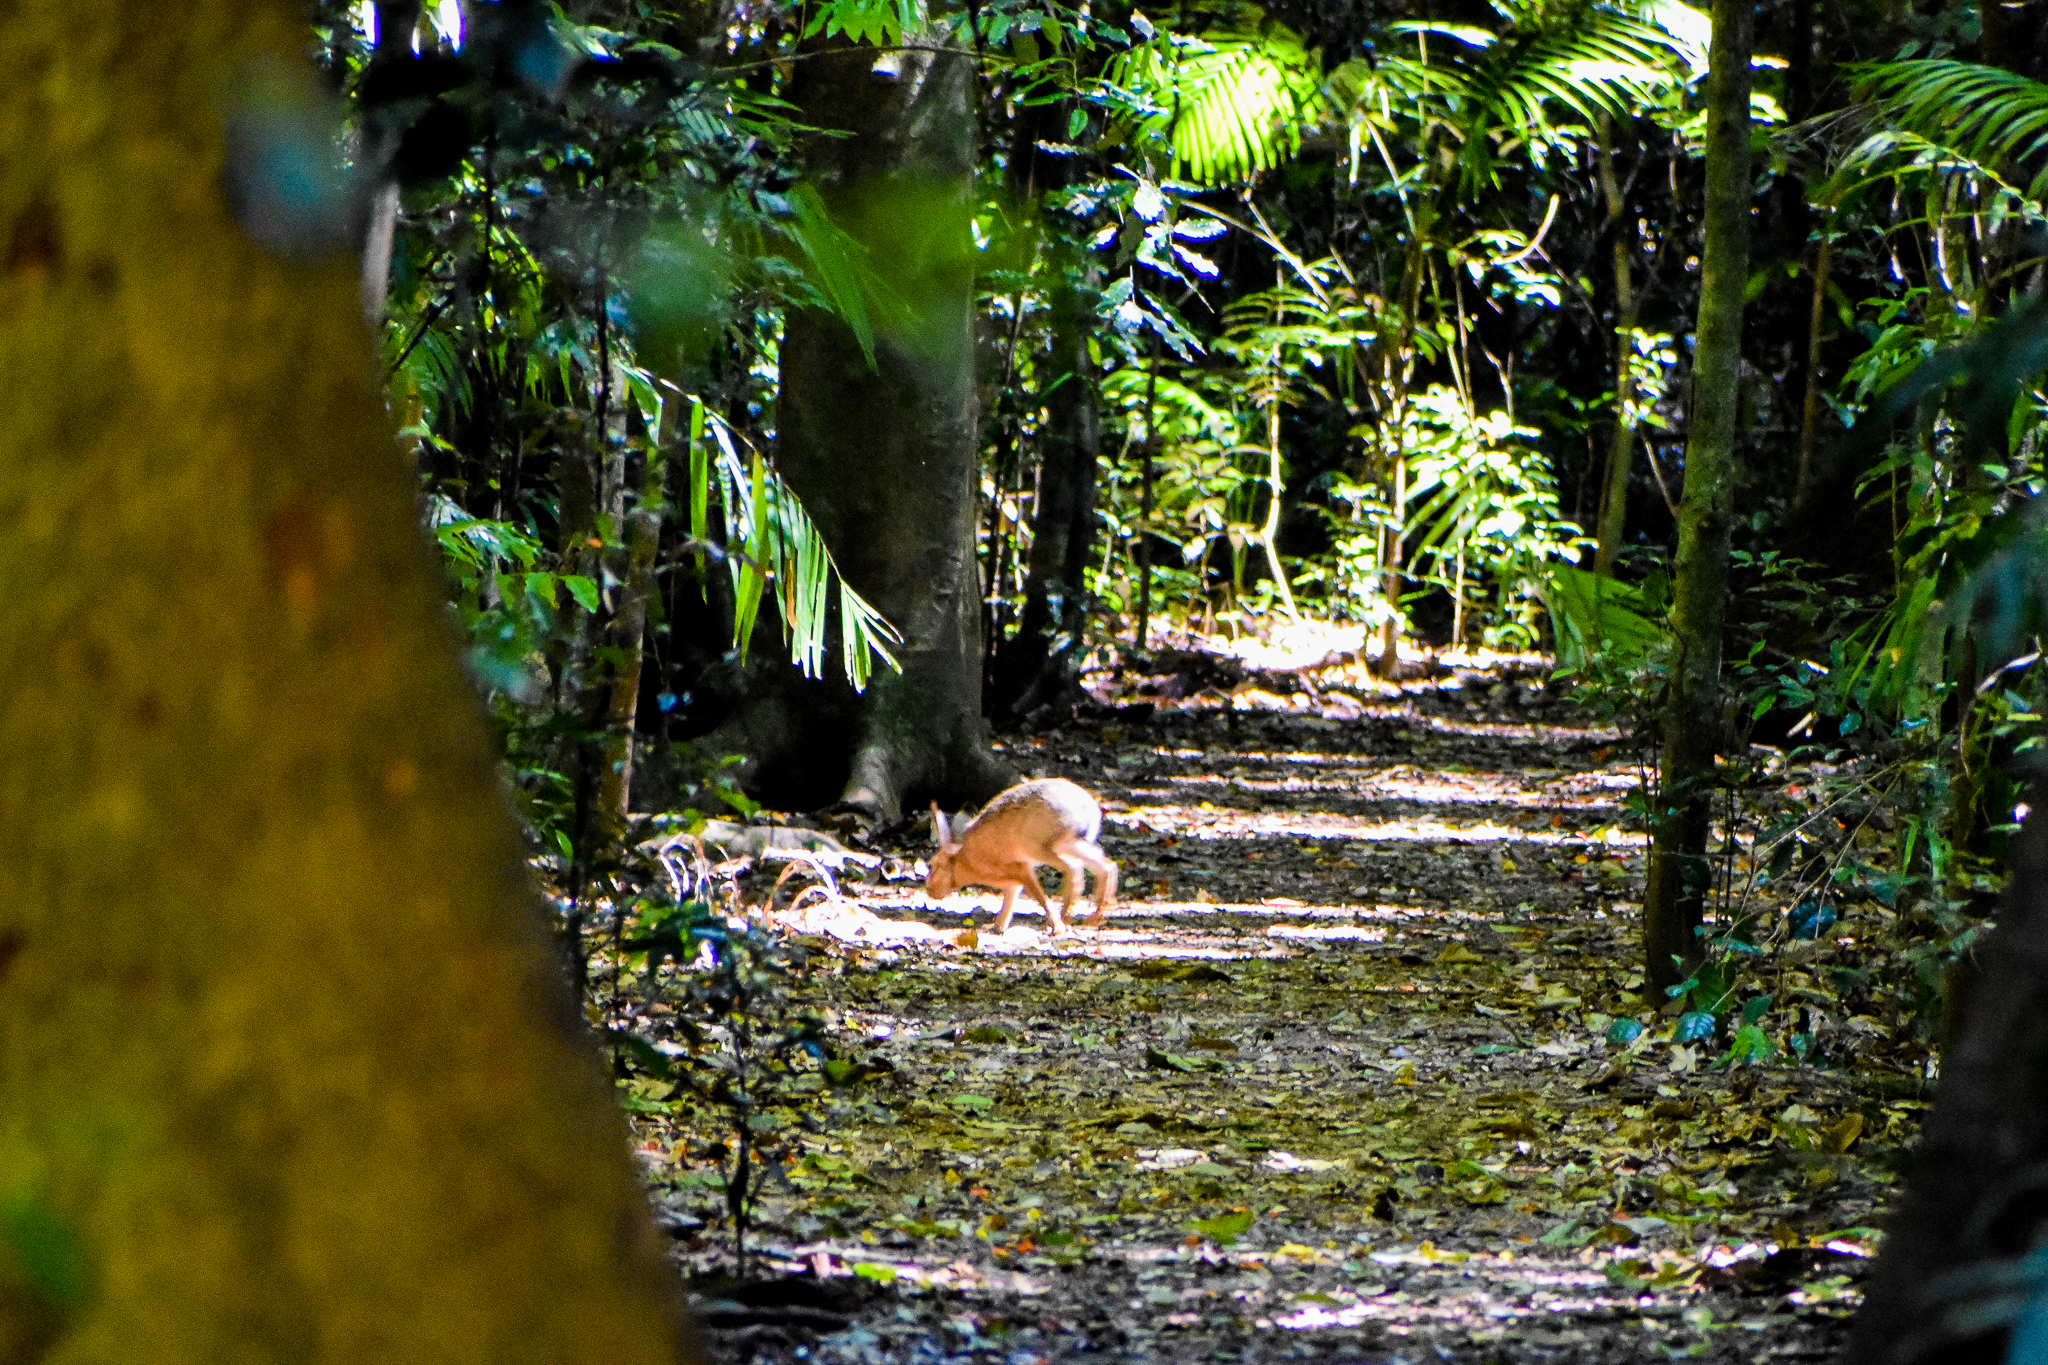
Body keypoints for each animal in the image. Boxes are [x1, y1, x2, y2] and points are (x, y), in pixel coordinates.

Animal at [926, 778, 1118, 935]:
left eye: (933, 865)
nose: (929, 890)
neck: (962, 859)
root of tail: (1087, 809)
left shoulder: (1021, 870)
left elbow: (1039, 897)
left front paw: (1056, 927)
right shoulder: (1014, 881)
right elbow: (1008, 902)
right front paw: (997, 927)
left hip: (1039, 847)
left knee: (1074, 868)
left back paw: (1065, 918)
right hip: (1070, 845)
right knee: (1106, 866)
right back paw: (1094, 918)